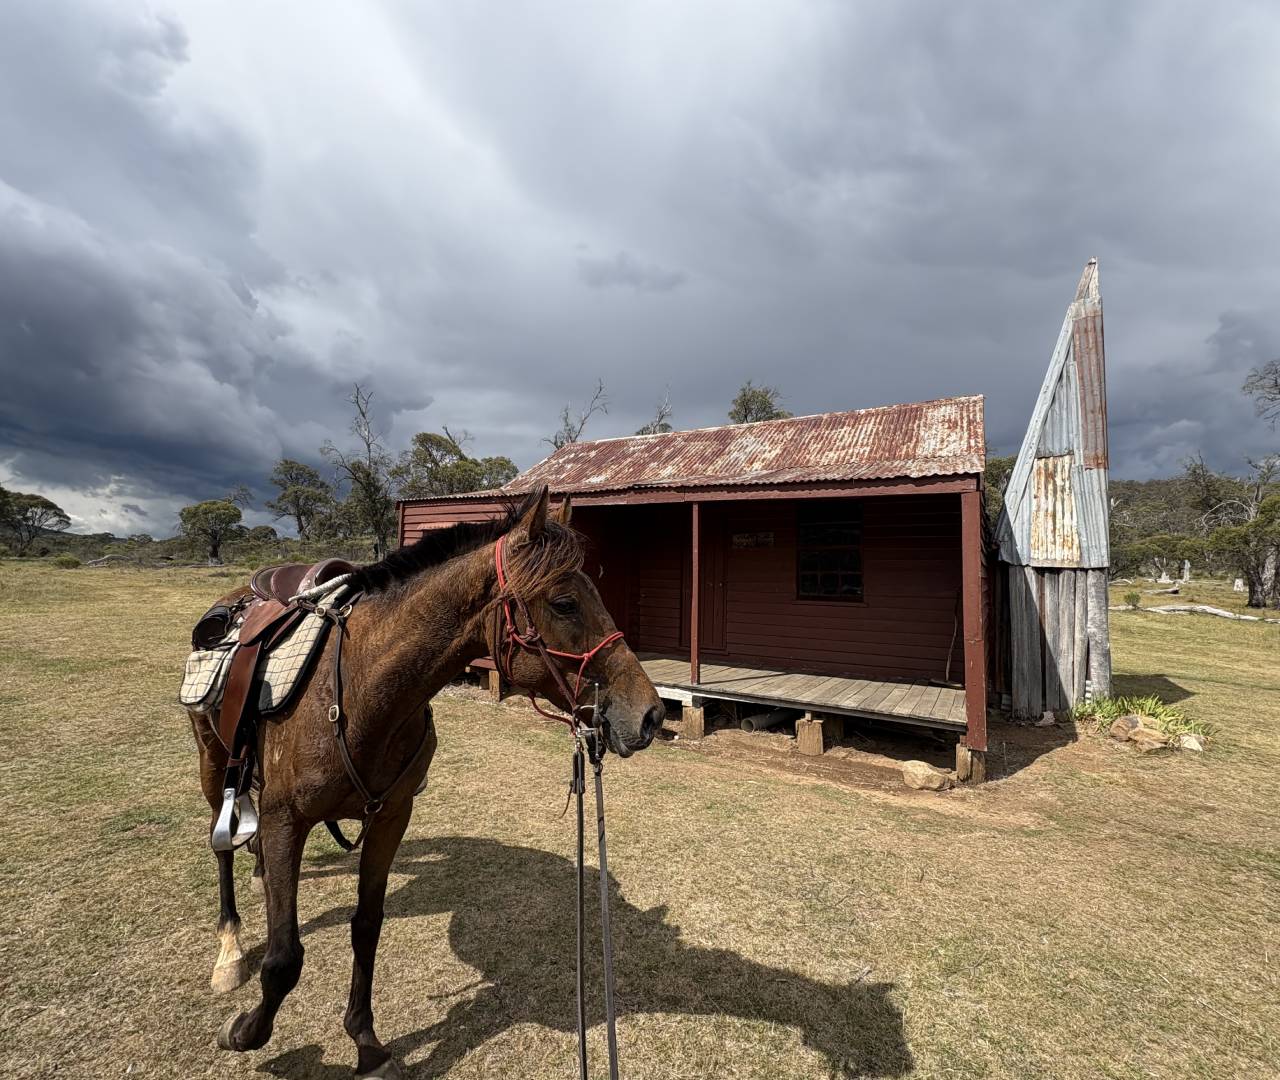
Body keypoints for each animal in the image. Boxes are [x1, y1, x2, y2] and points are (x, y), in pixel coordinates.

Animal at [186, 486, 664, 1078]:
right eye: (564, 603)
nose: (650, 714)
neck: (360, 691)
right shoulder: (284, 820)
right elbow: (284, 957)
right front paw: (248, 1030)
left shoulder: (390, 817)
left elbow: (367, 926)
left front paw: (366, 1042)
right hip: (212, 761)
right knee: (221, 844)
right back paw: (229, 949)